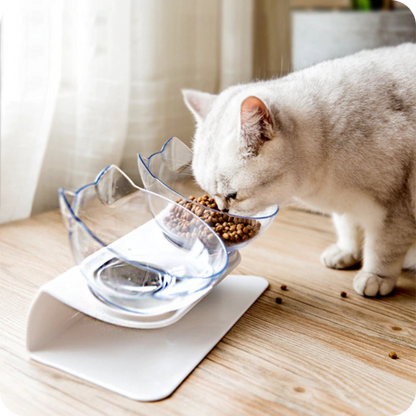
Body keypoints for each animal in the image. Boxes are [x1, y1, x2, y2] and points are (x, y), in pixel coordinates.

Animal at [183, 42, 416, 296]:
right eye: (210, 195)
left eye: (232, 195)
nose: (222, 211)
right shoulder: (347, 206)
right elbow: (348, 228)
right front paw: (347, 253)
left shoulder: (394, 209)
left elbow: (382, 249)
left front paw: (375, 277)